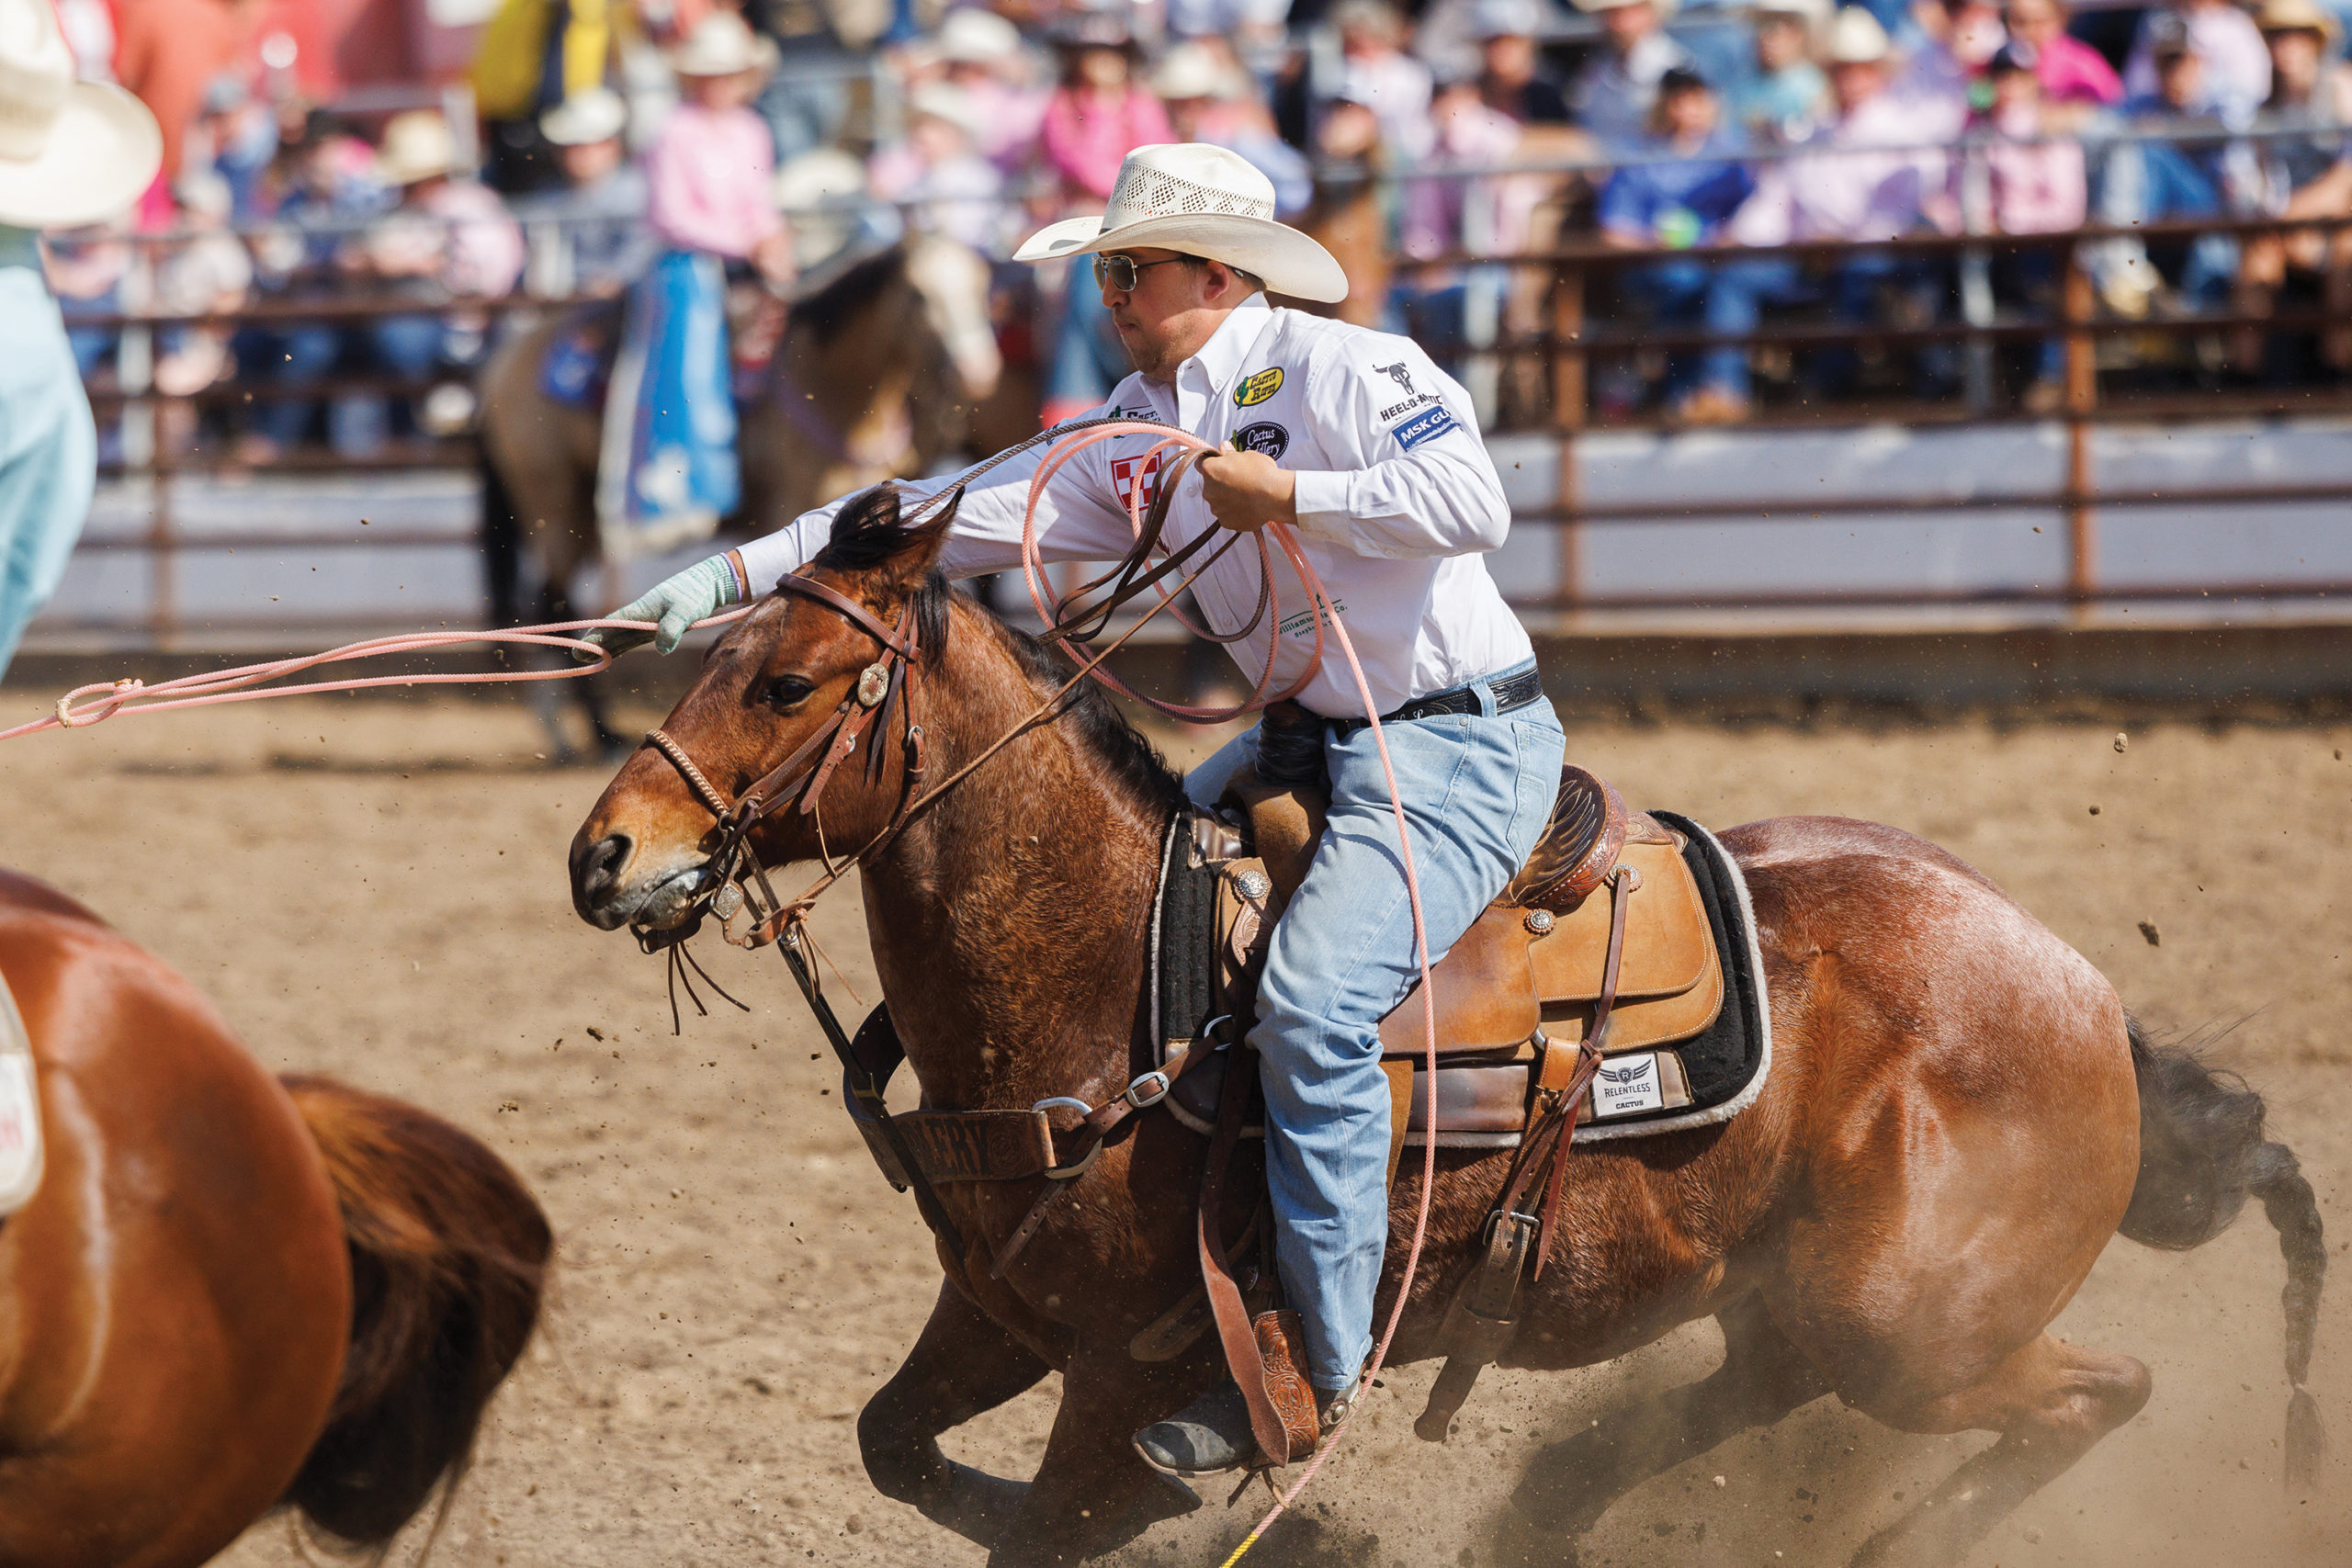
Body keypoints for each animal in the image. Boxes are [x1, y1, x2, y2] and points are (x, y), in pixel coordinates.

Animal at [560, 493, 2324, 1568]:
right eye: (713, 653)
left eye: (788, 685)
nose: (603, 854)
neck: (1119, 981)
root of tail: (2077, 988)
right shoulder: (1002, 1311)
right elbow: (896, 1449)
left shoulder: (1126, 1367)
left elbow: (1057, 1513)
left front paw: (1267, 1516)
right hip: (1795, 1307)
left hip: (1909, 1327)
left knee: (2103, 1389)